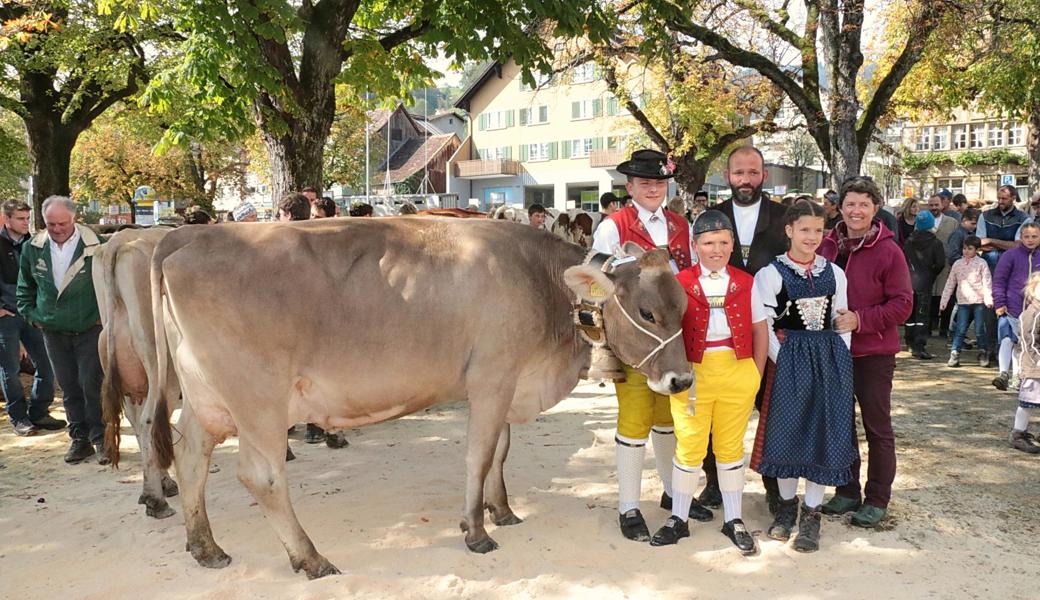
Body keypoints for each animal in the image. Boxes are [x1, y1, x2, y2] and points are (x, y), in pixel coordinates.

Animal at [150, 217, 690, 578]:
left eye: (684, 306)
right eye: (647, 311)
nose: (682, 380)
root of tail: (188, 235)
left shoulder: (508, 381)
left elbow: (500, 452)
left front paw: (503, 510)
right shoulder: (492, 379)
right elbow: (479, 456)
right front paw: (476, 531)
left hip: (204, 396)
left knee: (190, 457)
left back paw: (205, 547)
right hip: (258, 400)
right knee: (261, 476)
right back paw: (311, 557)